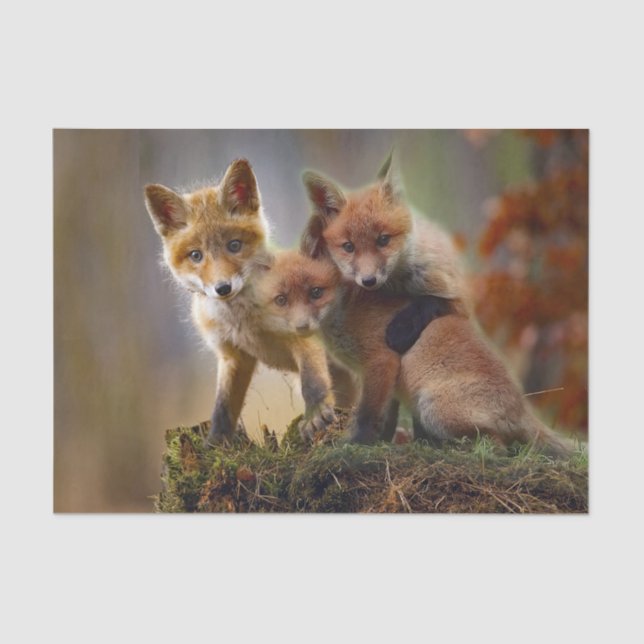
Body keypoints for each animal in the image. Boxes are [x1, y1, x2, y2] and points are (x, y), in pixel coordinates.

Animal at [144, 158, 336, 444]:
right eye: (196, 255)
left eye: (234, 245)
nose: (222, 288)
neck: (244, 320)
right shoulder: (232, 355)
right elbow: (223, 406)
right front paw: (215, 442)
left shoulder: (302, 331)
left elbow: (312, 381)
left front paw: (316, 415)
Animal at [262, 245, 572, 457]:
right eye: (282, 299)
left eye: (316, 292)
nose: (300, 326)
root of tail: (521, 406)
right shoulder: (383, 378)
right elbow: (386, 419)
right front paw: (380, 443)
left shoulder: (381, 360)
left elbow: (368, 415)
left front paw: (356, 445)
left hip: (433, 409)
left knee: (498, 448)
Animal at [302, 153, 469, 354]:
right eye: (349, 247)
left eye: (383, 240)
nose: (368, 280)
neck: (398, 285)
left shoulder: (458, 296)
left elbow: (431, 300)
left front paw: (402, 328)